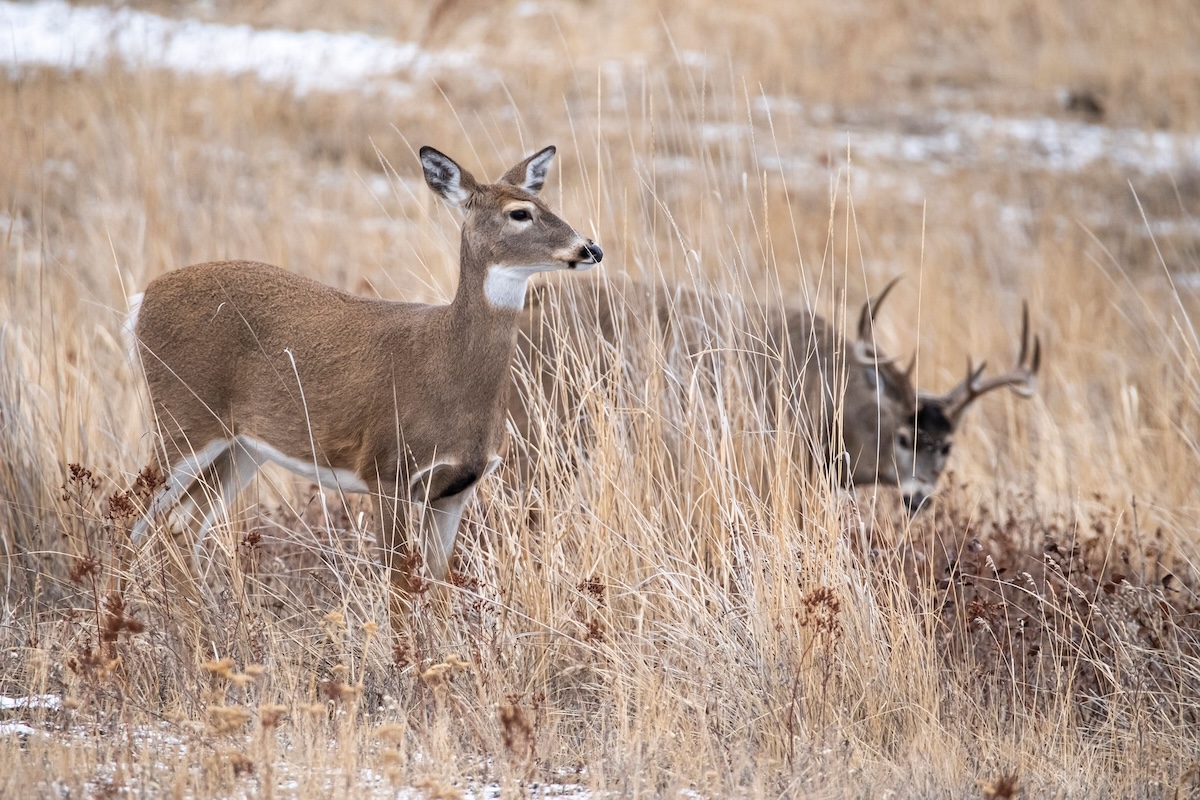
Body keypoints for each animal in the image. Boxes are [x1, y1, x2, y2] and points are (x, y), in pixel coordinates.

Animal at [127, 145, 603, 630]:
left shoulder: (457, 488)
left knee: (182, 526)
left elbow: (440, 585)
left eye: (545, 202)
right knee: (125, 516)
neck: (449, 371)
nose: (591, 247)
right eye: (519, 213)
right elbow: (399, 588)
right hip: (182, 415)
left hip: (241, 445)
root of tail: (142, 301)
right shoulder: (388, 468)